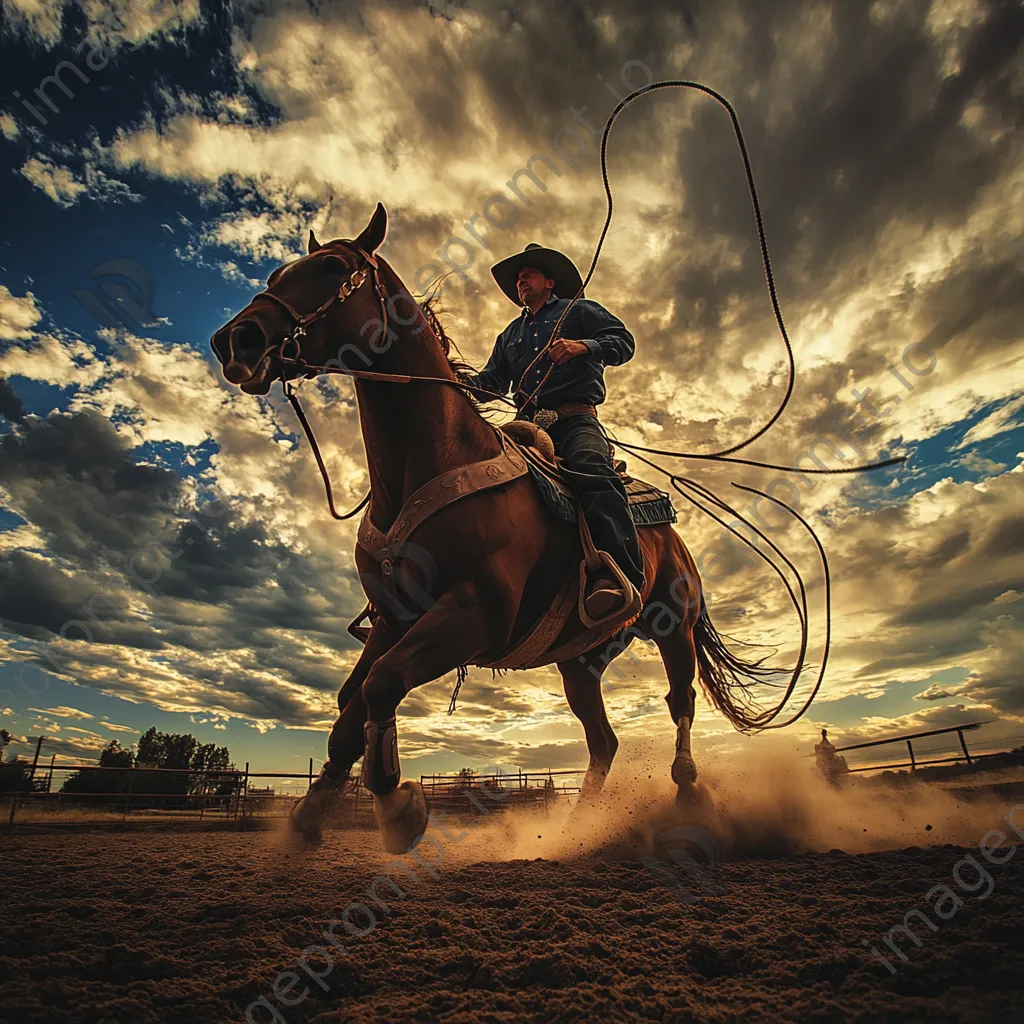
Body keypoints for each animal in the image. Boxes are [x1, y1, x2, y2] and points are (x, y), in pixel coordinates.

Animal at [209, 201, 770, 856]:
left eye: (332, 268)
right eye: (277, 274)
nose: (234, 339)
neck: (433, 460)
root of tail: (671, 538)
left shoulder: (475, 614)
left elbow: (382, 686)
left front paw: (398, 808)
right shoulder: (393, 618)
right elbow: (350, 710)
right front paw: (308, 818)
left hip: (672, 626)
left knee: (680, 701)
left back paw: (687, 795)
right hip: (580, 662)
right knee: (603, 740)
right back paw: (577, 829)